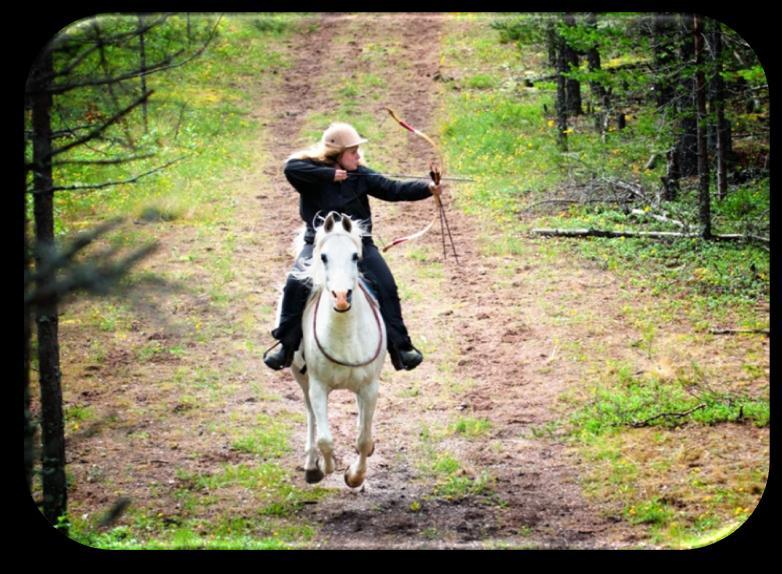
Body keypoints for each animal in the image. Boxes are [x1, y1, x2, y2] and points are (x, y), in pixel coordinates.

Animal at [286, 213, 388, 490]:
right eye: (323, 257)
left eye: (355, 256)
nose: (342, 297)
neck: (345, 334)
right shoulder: (318, 387)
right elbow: (325, 439)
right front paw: (326, 466)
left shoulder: (370, 387)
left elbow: (363, 439)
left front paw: (354, 477)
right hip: (302, 378)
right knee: (311, 416)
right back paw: (312, 465)